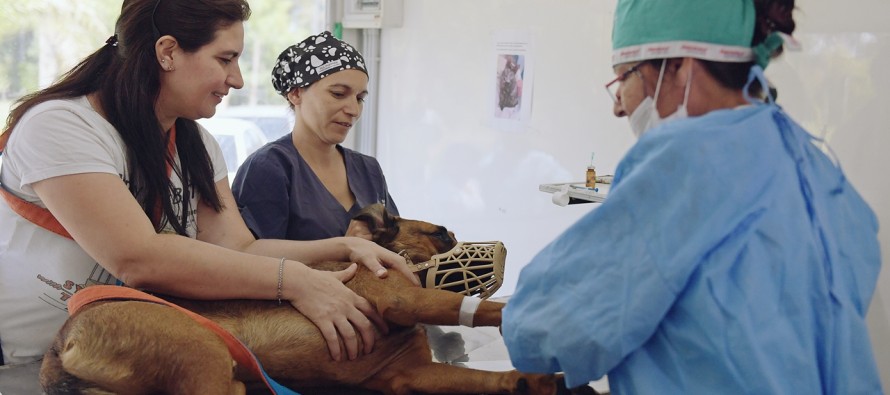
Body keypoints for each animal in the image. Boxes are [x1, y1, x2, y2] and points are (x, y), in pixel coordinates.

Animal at [38, 206, 580, 394]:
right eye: (442, 232)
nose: (503, 248)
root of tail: (62, 342)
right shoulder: (406, 301)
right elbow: (480, 309)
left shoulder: (412, 376)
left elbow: (492, 380)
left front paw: (533, 380)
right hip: (203, 355)